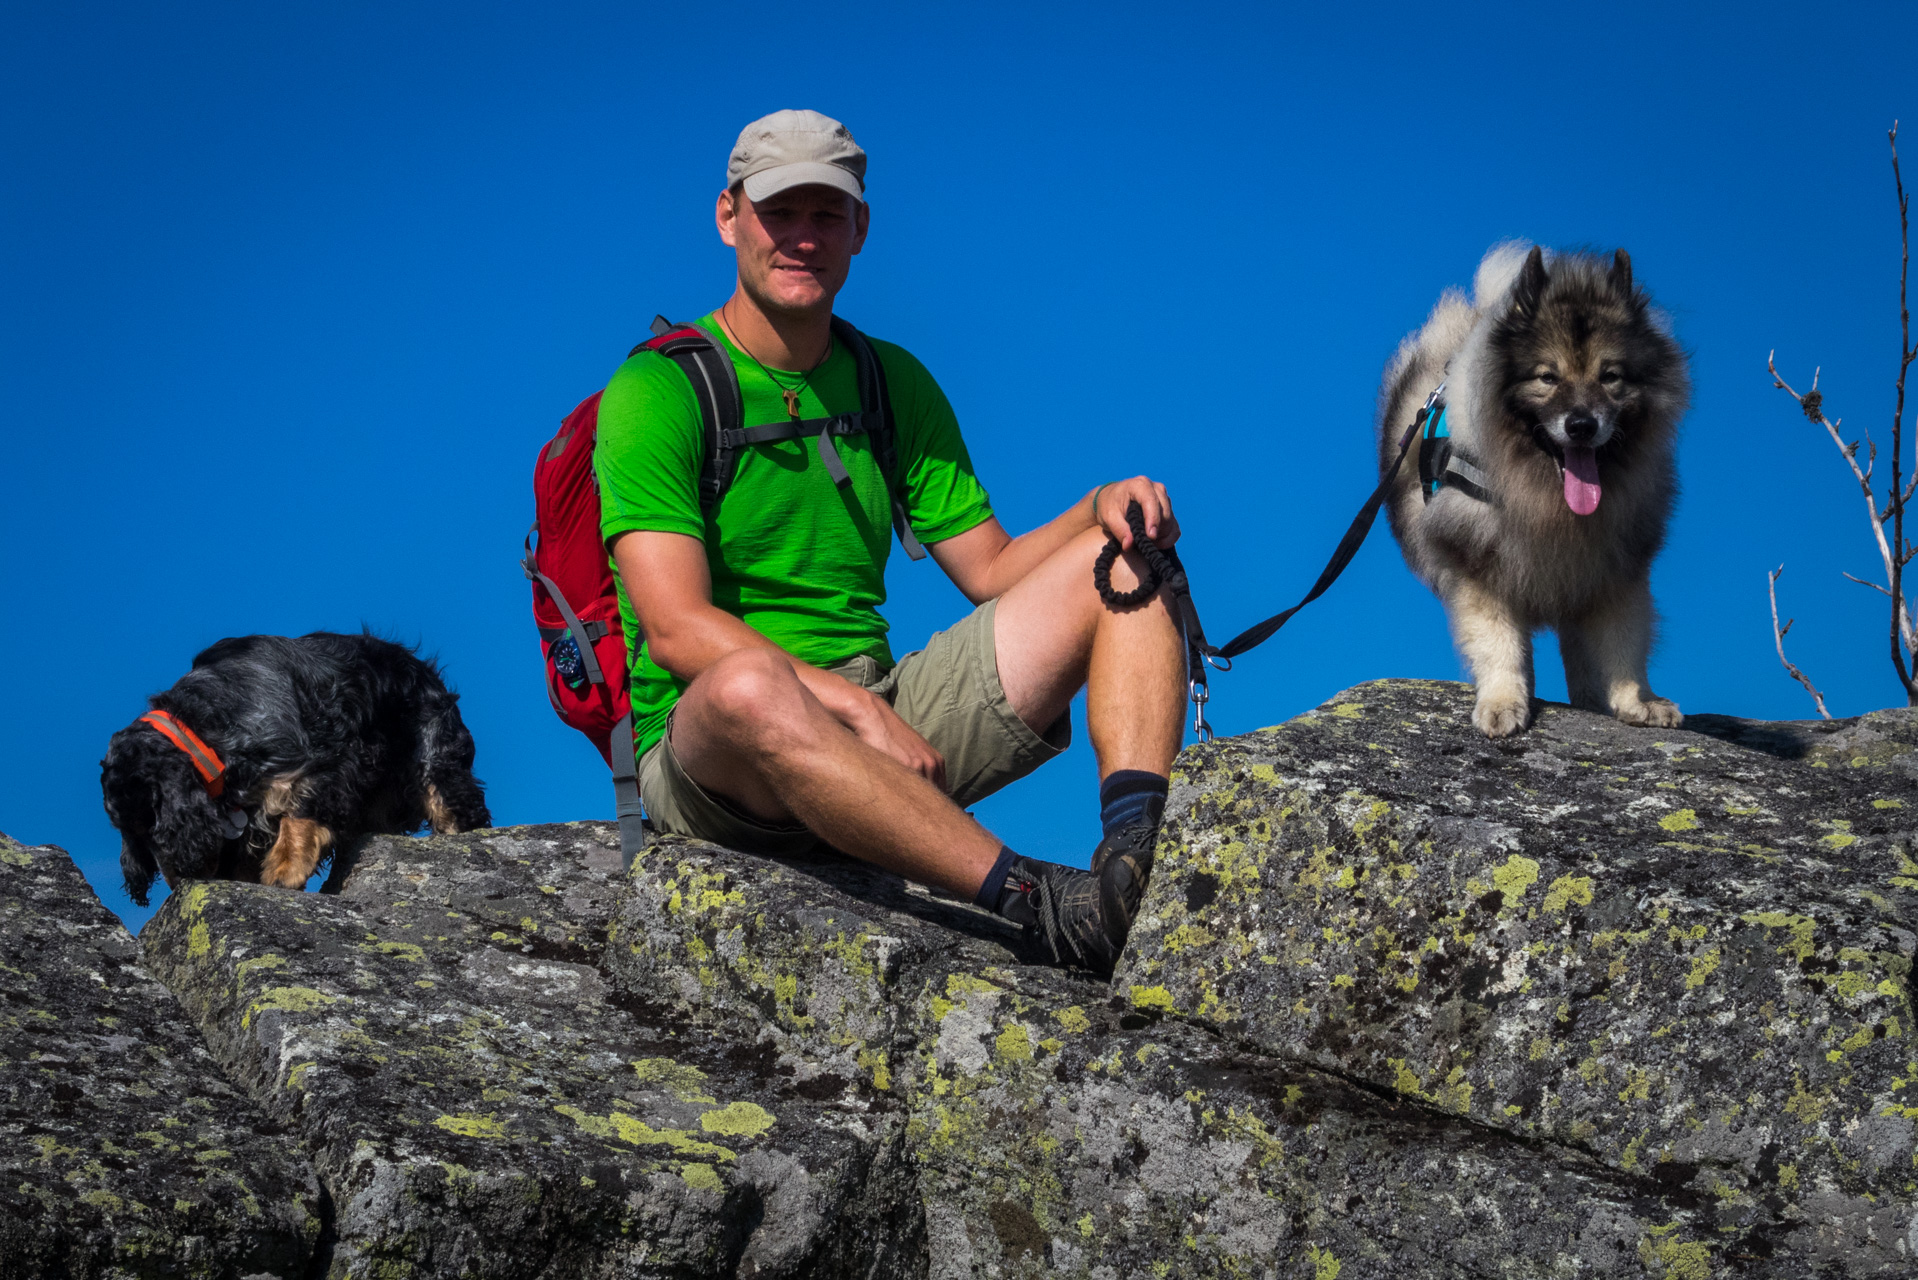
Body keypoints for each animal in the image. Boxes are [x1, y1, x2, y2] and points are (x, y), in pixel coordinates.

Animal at [1388, 243, 1687, 736]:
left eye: (1610, 376)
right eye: (1548, 377)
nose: (1582, 425)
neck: (1547, 496)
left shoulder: (1615, 569)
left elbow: (1622, 643)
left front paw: (1637, 701)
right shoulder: (1482, 566)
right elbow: (1500, 644)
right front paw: (1502, 703)